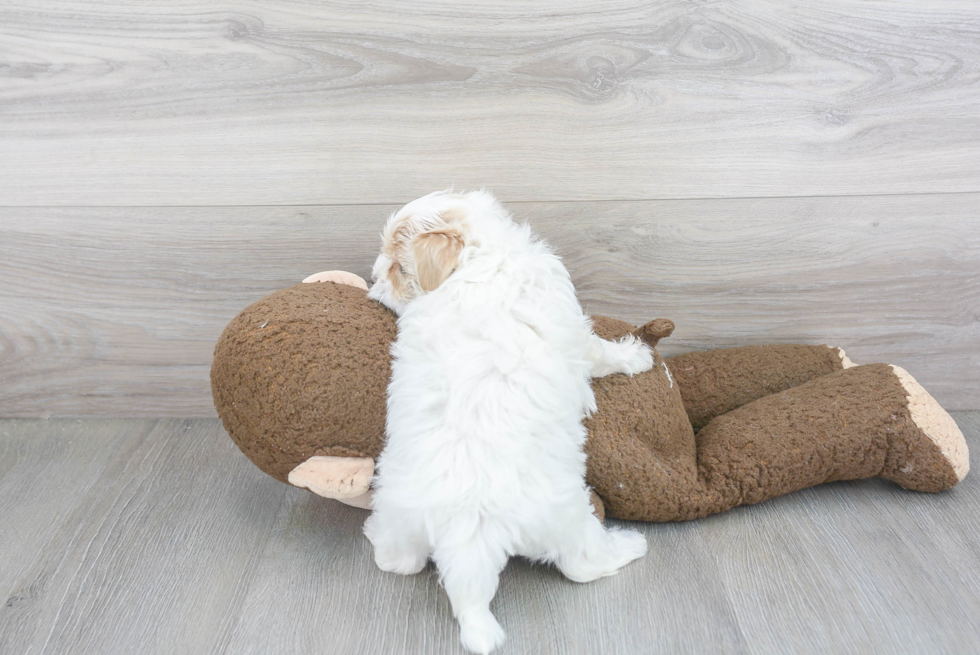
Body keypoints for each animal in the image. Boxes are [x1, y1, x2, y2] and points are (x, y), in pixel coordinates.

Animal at [364, 191, 656, 655]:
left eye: (397, 267)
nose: (372, 278)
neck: (480, 257)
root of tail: (464, 533)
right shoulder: (574, 331)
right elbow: (599, 350)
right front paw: (637, 356)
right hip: (566, 518)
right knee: (583, 565)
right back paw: (629, 545)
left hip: (402, 516)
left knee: (398, 561)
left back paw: (374, 533)